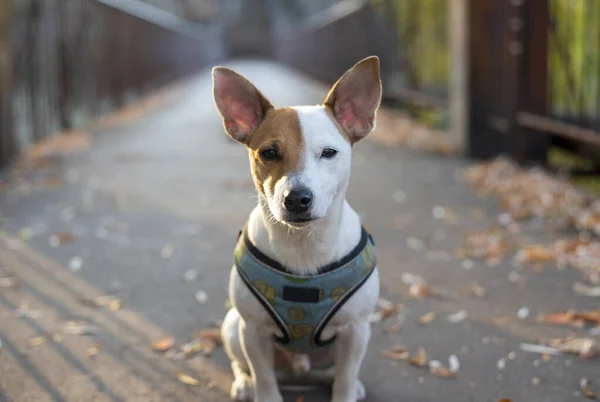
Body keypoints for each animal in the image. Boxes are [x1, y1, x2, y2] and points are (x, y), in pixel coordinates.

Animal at [213, 56, 382, 402]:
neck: (305, 245)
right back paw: (244, 383)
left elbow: (344, 379)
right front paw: (260, 389)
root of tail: (299, 370)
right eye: (268, 152)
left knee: (337, 373)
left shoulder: (356, 330)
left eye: (329, 152)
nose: (297, 199)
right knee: (243, 363)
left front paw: (347, 390)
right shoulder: (253, 331)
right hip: (233, 326)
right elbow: (264, 378)